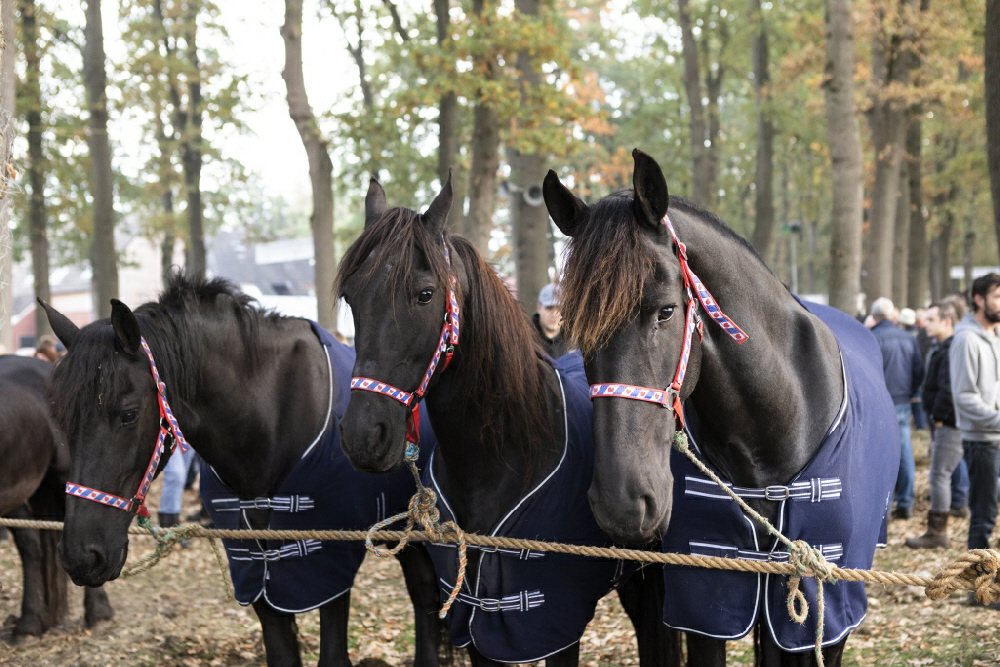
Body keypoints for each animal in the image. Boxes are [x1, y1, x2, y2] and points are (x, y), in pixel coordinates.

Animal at [40, 276, 442, 667]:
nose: (81, 556)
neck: (268, 421)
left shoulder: (327, 566)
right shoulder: (255, 572)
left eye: (128, 414)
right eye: (61, 416)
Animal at [336, 176, 680, 667]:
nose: (364, 436)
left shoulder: (554, 623)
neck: (507, 457)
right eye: (351, 296)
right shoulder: (476, 619)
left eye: (425, 294)